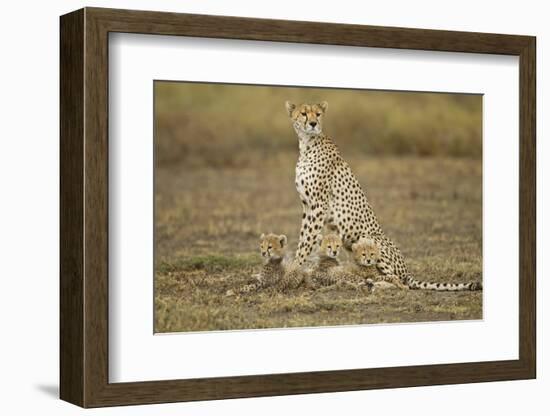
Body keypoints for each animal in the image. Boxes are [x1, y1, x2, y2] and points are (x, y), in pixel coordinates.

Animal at [288, 100, 484, 292]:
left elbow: (307, 241)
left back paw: (373, 285)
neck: (307, 144)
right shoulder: (307, 204)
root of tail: (407, 272)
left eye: (318, 114)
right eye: (304, 113)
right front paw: (299, 268)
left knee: (398, 281)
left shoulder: (318, 205)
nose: (313, 124)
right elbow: (305, 238)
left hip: (372, 242)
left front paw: (294, 269)